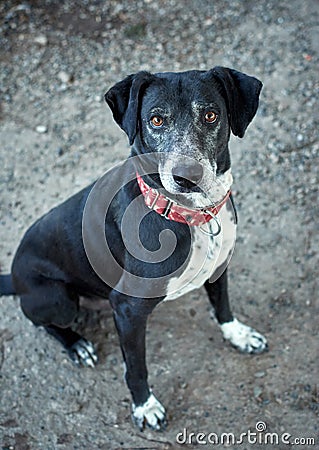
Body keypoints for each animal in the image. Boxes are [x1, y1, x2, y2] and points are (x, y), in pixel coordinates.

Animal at [1, 67, 268, 428]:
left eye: (211, 115)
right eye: (156, 120)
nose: (187, 177)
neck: (190, 214)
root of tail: (12, 276)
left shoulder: (220, 266)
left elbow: (223, 305)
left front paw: (238, 334)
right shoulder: (128, 310)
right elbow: (136, 367)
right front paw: (145, 406)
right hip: (59, 299)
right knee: (39, 320)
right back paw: (77, 345)